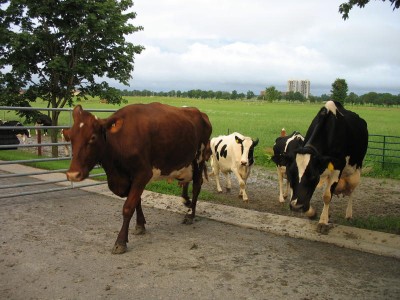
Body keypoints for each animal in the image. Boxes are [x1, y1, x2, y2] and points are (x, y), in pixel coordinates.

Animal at [63, 102, 212, 253]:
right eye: (70, 137)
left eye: (92, 137)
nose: (73, 174)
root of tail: (199, 112)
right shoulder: (130, 179)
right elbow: (137, 201)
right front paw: (140, 225)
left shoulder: (143, 174)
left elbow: (128, 207)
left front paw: (120, 242)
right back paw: (187, 202)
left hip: (199, 159)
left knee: (197, 184)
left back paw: (190, 214)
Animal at [284, 101, 368, 234]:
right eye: (291, 174)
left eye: (313, 176)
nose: (296, 207)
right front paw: (312, 213)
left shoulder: (338, 166)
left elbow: (327, 196)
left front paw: (323, 222)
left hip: (355, 171)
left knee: (351, 191)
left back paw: (349, 214)